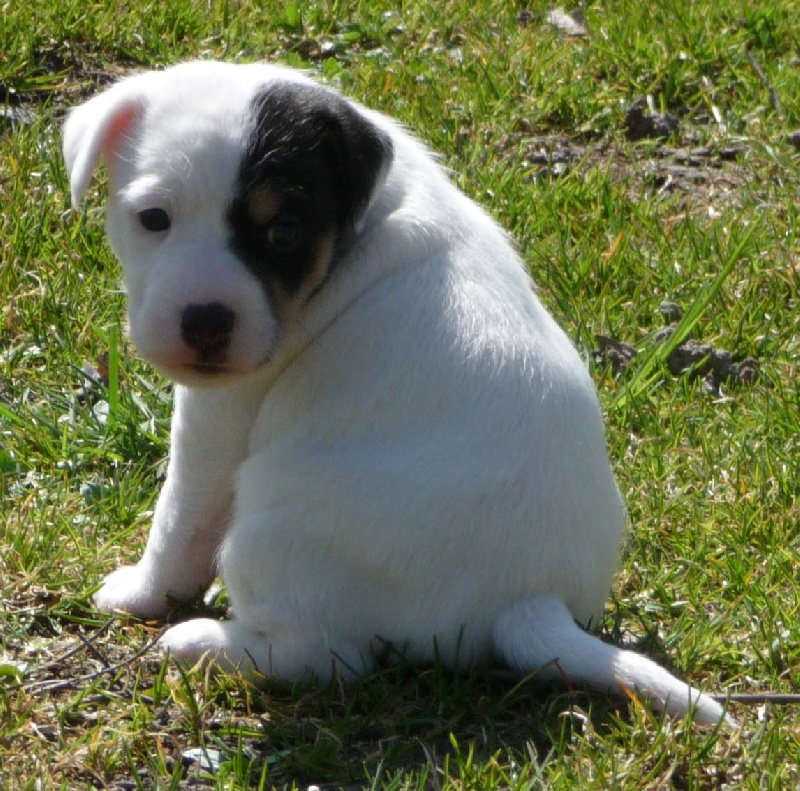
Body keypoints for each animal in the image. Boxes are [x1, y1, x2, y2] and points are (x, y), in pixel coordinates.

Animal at [62, 60, 728, 732]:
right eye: (153, 218)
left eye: (285, 231)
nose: (205, 322)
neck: (361, 230)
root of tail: (529, 599)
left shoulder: (218, 418)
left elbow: (179, 521)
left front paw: (142, 592)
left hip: (268, 540)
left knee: (326, 657)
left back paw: (200, 643)